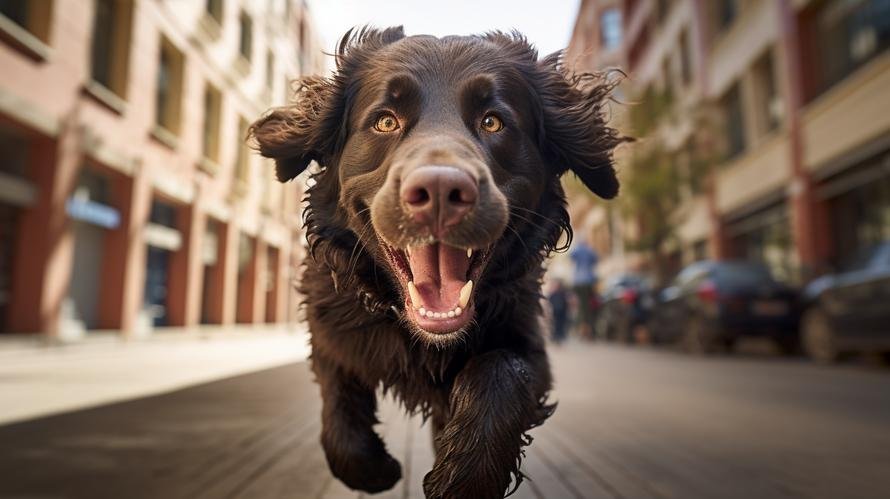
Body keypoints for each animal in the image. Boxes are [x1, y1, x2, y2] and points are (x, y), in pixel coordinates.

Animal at [248, 27, 624, 499]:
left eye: (492, 122)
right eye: (385, 121)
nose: (442, 191)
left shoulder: (528, 340)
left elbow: (502, 370)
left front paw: (463, 475)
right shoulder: (329, 325)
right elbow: (338, 396)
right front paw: (371, 468)